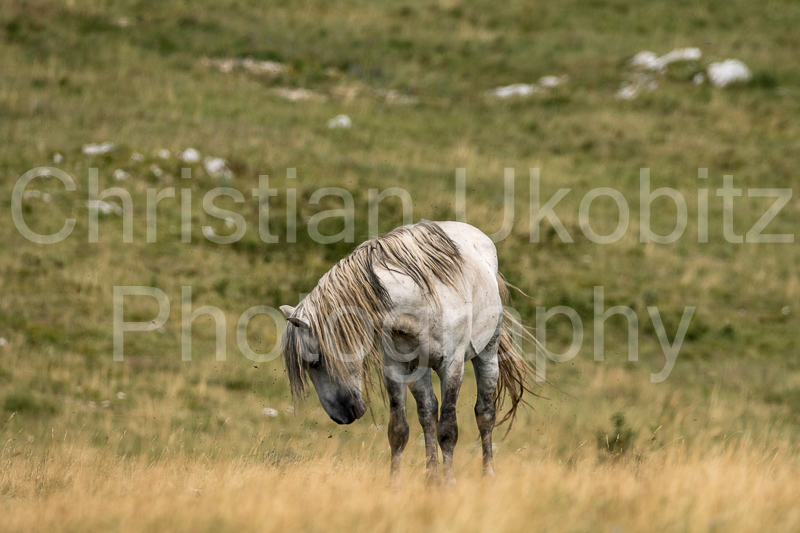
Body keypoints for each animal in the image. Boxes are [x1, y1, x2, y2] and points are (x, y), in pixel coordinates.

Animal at [279, 220, 534, 484]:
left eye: (315, 362)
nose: (341, 416)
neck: (419, 302)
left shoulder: (452, 367)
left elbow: (448, 430)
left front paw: (449, 483)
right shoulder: (396, 369)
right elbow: (399, 430)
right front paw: (396, 485)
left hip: (488, 354)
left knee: (484, 414)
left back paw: (487, 475)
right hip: (419, 371)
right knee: (428, 415)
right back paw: (431, 479)